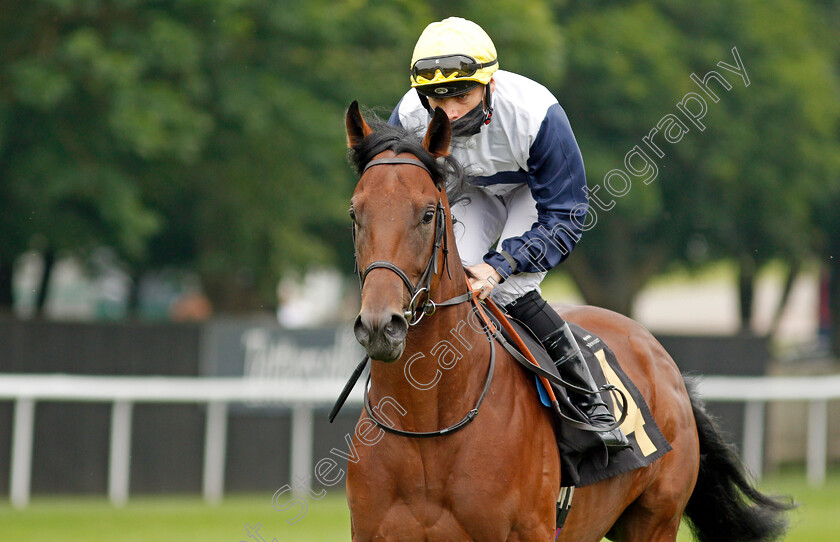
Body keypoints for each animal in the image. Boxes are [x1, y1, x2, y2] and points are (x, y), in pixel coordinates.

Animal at [342, 100, 796, 540]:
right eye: (354, 212)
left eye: (427, 214)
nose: (381, 326)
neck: (428, 425)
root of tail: (661, 356)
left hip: (655, 520)